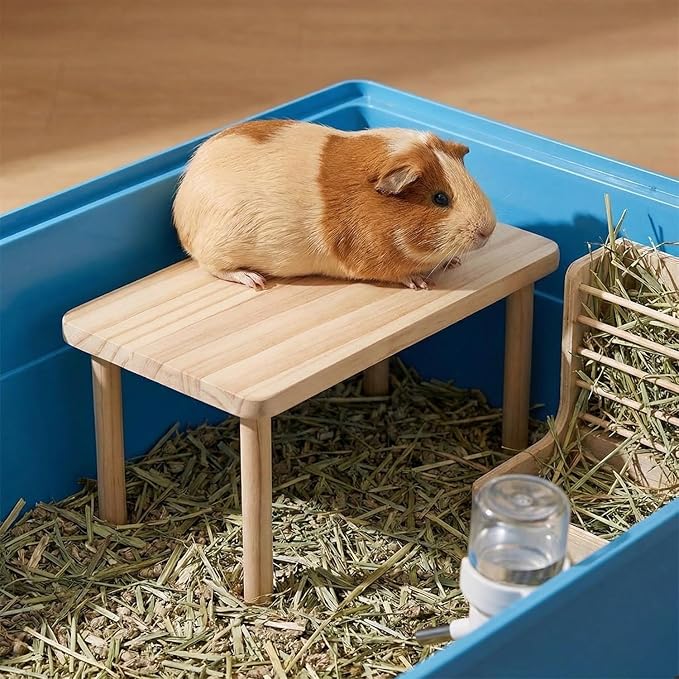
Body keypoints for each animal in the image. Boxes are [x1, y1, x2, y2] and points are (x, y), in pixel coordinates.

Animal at [172, 120, 496, 290]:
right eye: (440, 198)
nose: (488, 230)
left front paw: (453, 262)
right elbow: (397, 273)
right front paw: (419, 283)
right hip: (219, 249)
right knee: (213, 268)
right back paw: (255, 280)